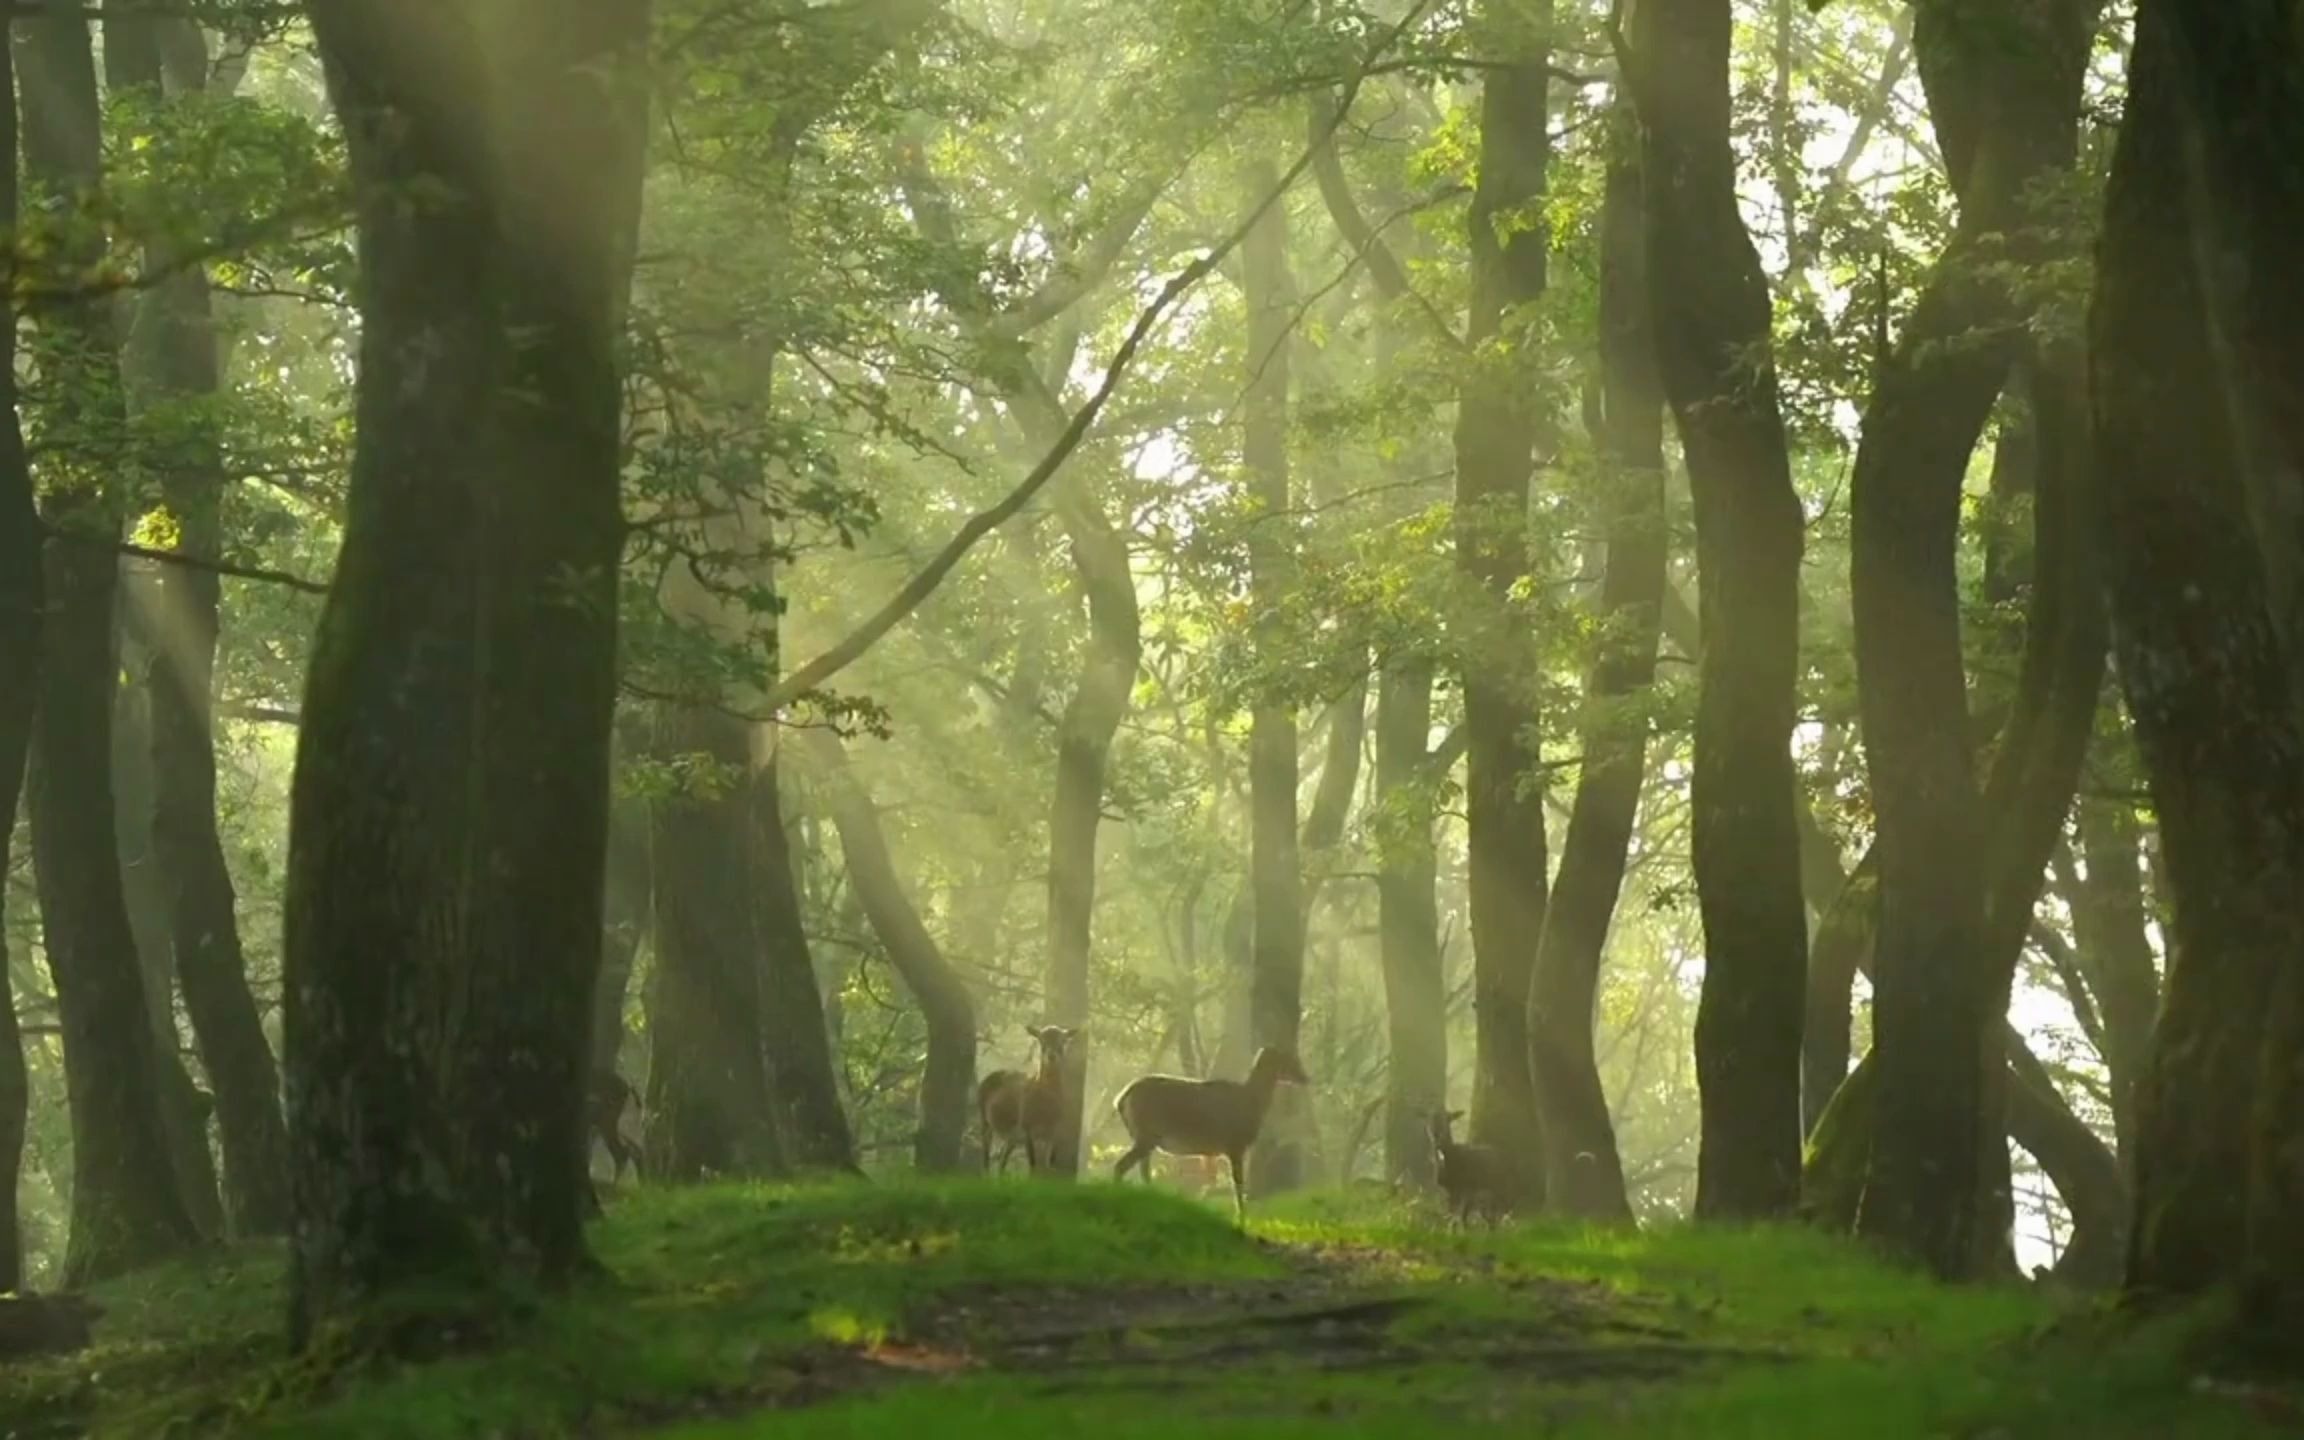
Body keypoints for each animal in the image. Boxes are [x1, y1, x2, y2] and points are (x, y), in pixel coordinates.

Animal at [972, 1022, 1078, 1170]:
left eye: (1062, 1041)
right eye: (1041, 1040)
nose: (1051, 1056)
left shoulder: (1052, 1133)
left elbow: (1048, 1165)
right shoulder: (1028, 1130)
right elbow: (1032, 1165)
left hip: (1012, 1137)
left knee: (1002, 1162)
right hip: (985, 1122)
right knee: (986, 1157)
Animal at [1105, 1046, 1308, 1216]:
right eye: (1289, 1059)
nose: (1305, 1078)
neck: (1252, 1101)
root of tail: (1120, 1099)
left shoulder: (1217, 1152)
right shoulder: (1235, 1145)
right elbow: (1237, 1184)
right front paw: (1241, 1217)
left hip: (1143, 1137)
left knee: (1142, 1171)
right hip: (1146, 1135)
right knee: (1121, 1166)